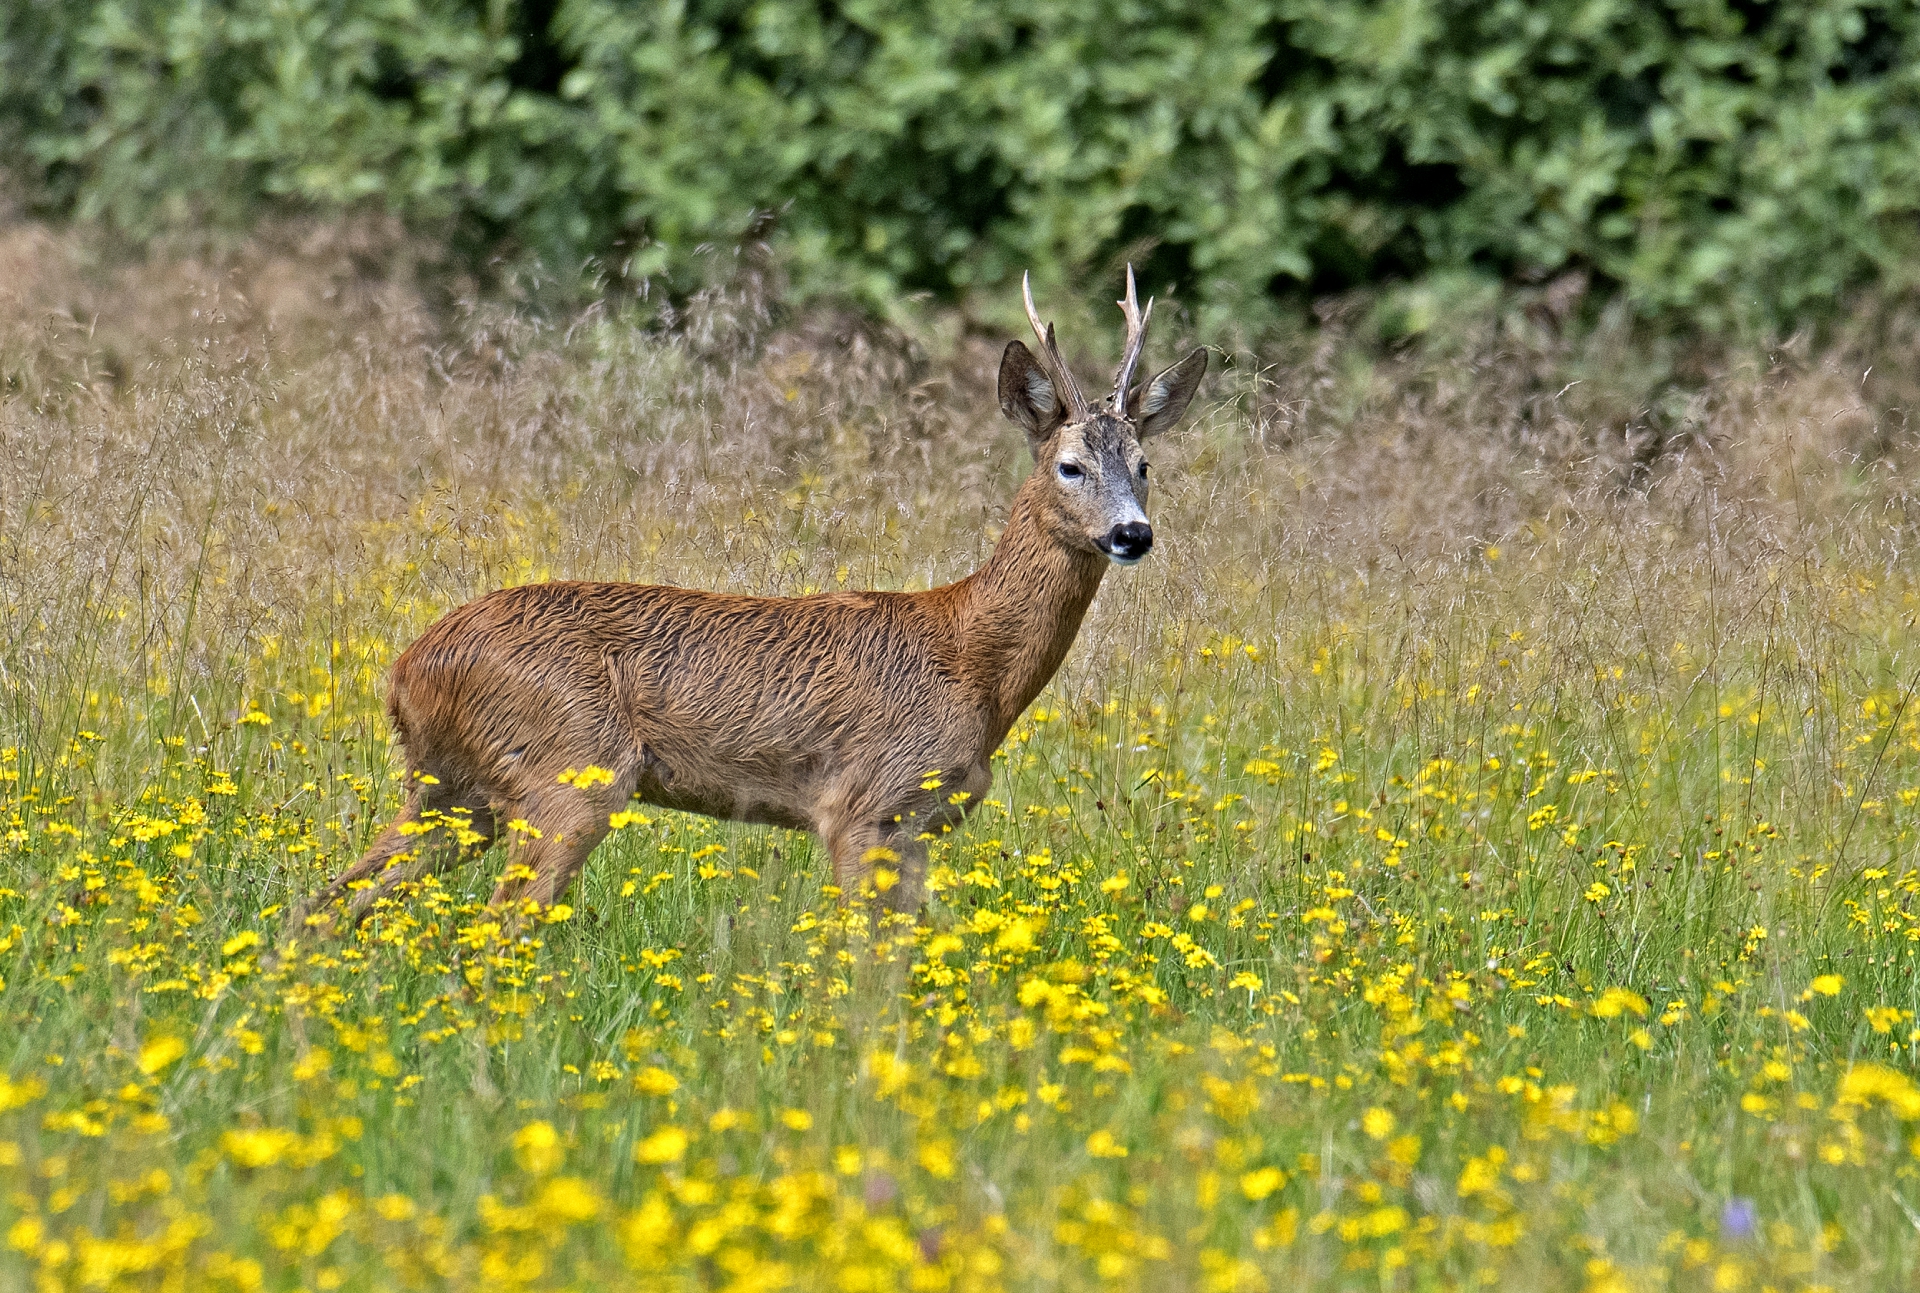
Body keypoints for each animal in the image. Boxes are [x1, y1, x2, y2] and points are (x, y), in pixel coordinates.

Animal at [295, 267, 1198, 922]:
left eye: (1146, 465)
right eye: (1069, 466)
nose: (1133, 533)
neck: (968, 655)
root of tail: (406, 668)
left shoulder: (912, 826)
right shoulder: (863, 804)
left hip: (455, 791)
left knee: (325, 904)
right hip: (568, 772)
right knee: (493, 926)